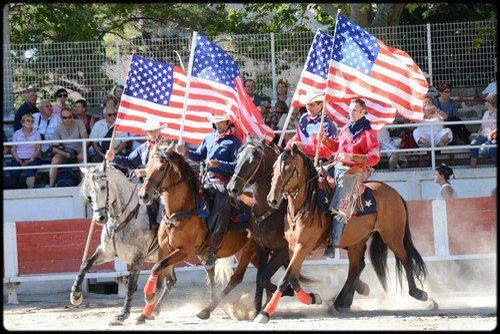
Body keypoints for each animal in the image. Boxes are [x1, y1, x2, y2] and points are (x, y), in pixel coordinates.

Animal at [72, 163, 160, 324]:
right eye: (89, 193)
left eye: (103, 187)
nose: (100, 218)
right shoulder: (106, 252)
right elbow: (85, 264)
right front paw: (75, 295)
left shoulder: (138, 258)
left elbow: (130, 285)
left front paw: (123, 314)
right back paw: (152, 312)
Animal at [135, 142, 264, 322]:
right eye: (147, 167)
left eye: (161, 168)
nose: (143, 195)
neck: (182, 210)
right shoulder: (165, 249)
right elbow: (161, 277)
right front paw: (146, 313)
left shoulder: (185, 251)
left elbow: (156, 267)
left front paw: (149, 296)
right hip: (254, 252)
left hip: (250, 250)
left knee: (237, 278)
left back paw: (208, 310)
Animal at [256, 144, 432, 324]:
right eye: (274, 168)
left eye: (289, 168)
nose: (272, 199)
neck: (306, 207)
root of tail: (394, 193)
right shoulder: (292, 248)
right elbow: (292, 278)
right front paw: (313, 298)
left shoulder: (302, 247)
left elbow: (285, 279)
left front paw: (266, 312)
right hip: (357, 242)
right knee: (356, 267)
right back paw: (341, 301)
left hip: (393, 237)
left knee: (405, 258)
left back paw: (418, 293)